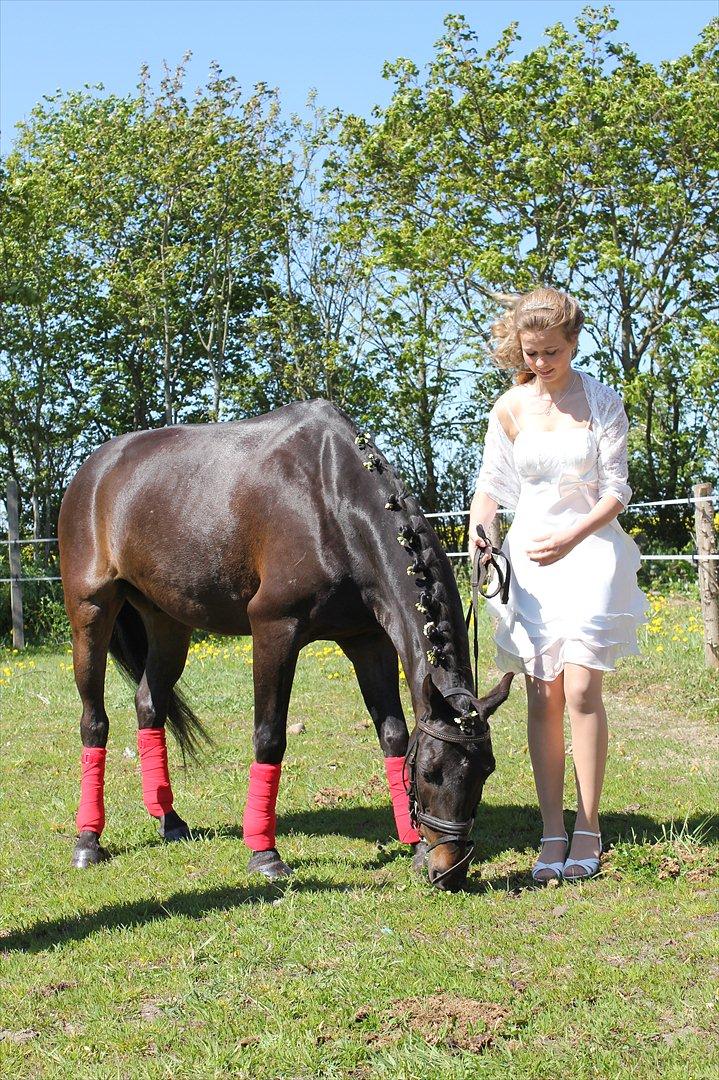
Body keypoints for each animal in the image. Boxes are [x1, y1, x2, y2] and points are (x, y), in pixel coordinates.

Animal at [58, 399, 513, 891]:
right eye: (430, 771)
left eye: (486, 769)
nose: (450, 870)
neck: (331, 500)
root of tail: (92, 472)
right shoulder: (274, 629)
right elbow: (269, 736)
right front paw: (264, 854)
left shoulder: (368, 641)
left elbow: (393, 735)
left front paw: (412, 846)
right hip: (91, 613)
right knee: (94, 722)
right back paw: (87, 841)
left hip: (167, 624)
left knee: (149, 704)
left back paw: (170, 820)